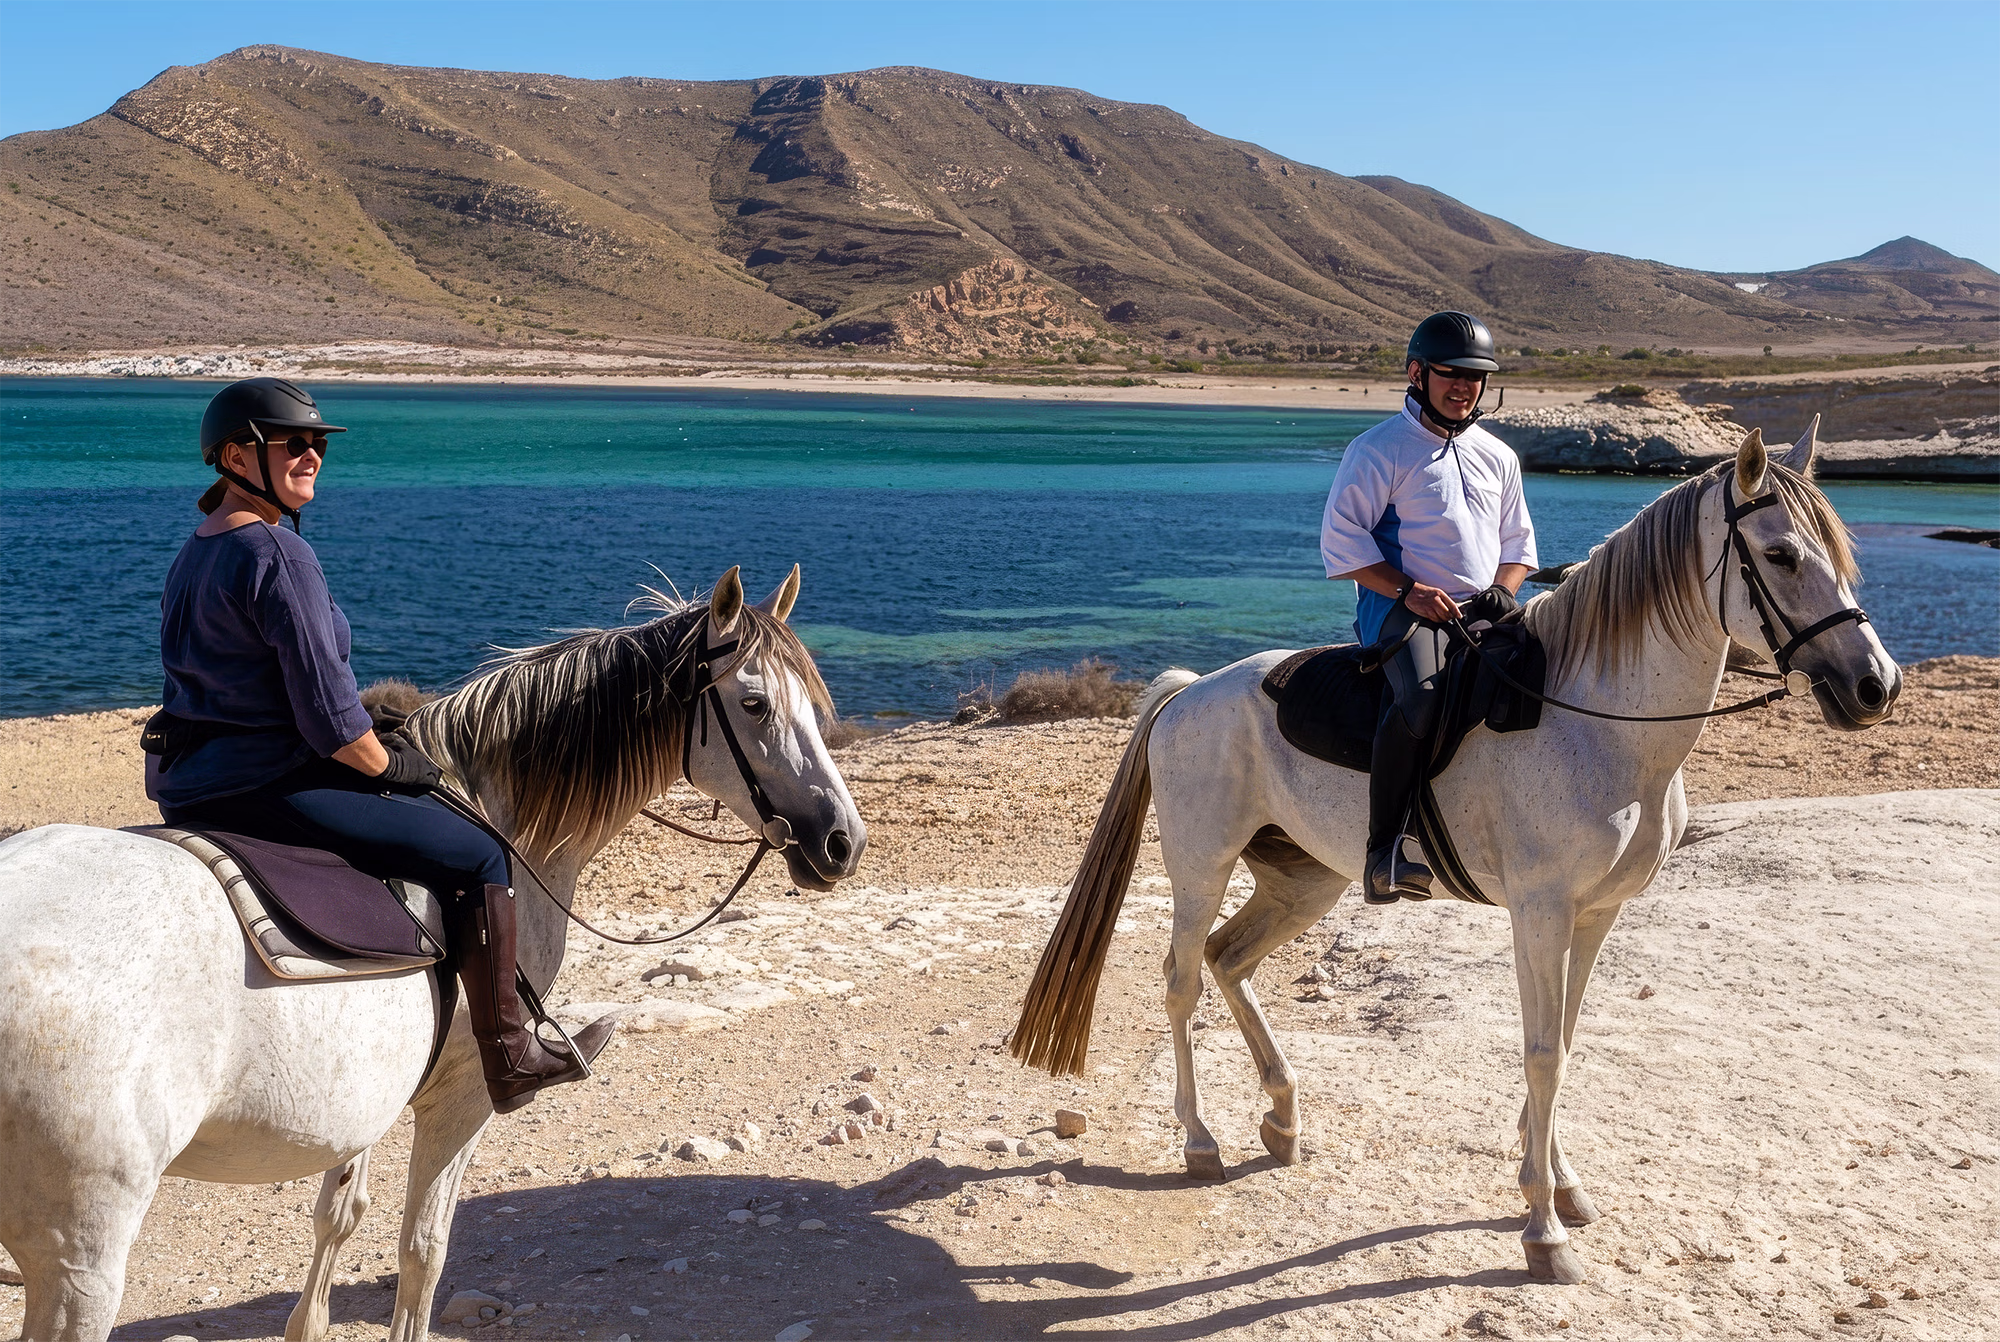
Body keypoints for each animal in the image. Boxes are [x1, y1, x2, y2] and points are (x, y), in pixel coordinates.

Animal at [0, 565, 864, 1342]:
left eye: (814, 706)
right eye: (753, 704)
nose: (841, 841)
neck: (494, 814)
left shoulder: (363, 1100)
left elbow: (339, 1214)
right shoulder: (461, 1097)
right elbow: (423, 1253)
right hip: (81, 1258)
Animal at [1013, 423, 1900, 1283]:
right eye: (1780, 555)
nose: (1876, 687)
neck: (1597, 724)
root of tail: (1191, 691)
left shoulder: (1597, 914)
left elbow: (1564, 1044)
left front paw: (1562, 1186)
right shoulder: (1540, 913)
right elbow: (1541, 1056)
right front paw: (1542, 1229)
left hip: (1305, 881)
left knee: (1231, 960)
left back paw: (1283, 1118)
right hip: (1202, 867)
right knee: (1182, 982)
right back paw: (1200, 1141)